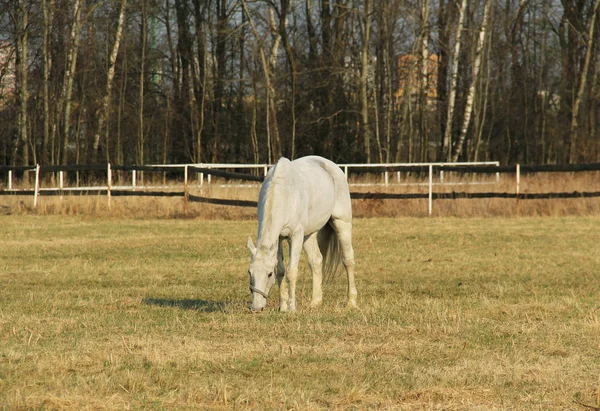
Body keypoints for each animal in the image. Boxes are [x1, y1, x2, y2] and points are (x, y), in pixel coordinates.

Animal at [247, 156, 358, 310]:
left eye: (269, 274)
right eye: (249, 272)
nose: (256, 307)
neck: (284, 193)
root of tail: (332, 166)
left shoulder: (296, 236)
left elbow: (291, 272)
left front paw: (292, 308)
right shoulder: (279, 238)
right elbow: (281, 271)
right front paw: (282, 307)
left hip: (342, 224)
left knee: (348, 260)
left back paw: (351, 302)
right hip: (309, 235)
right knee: (316, 261)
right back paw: (315, 302)